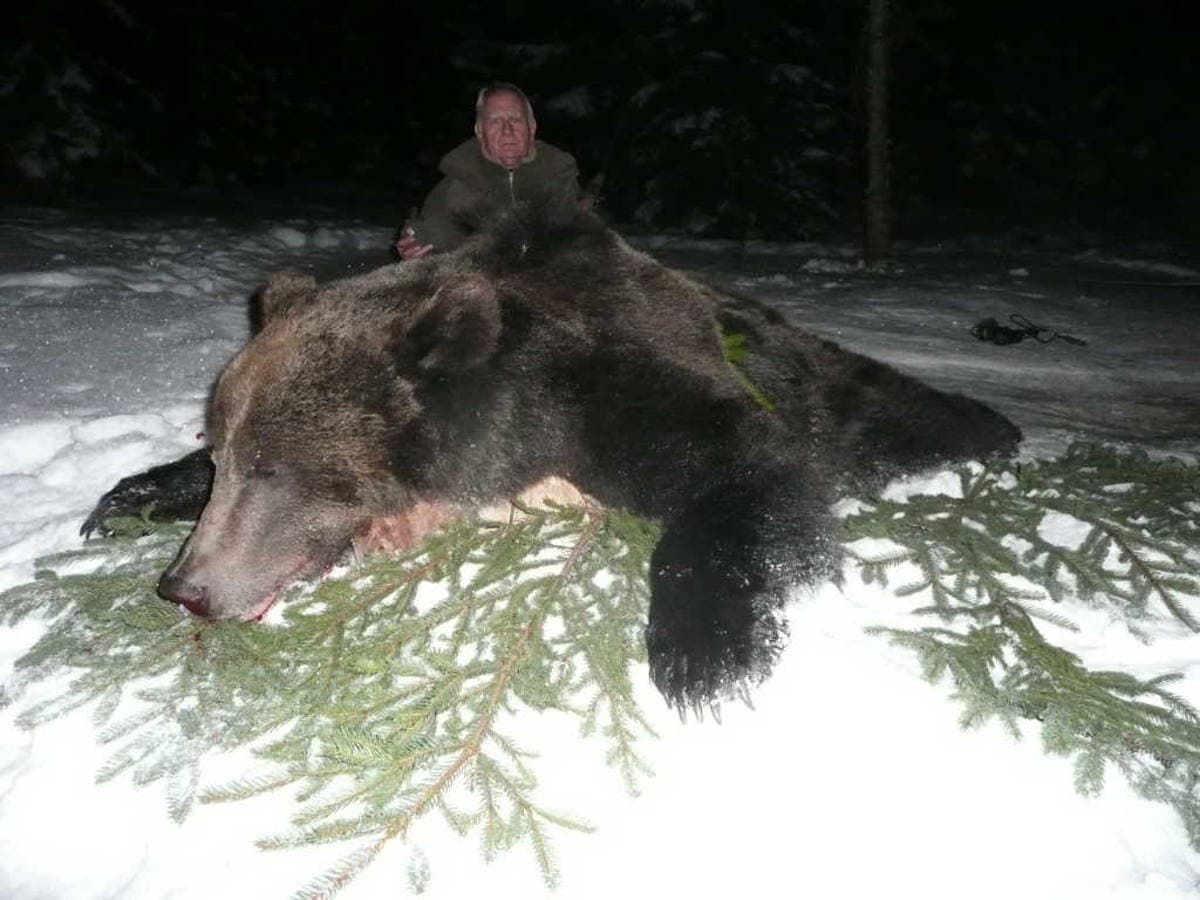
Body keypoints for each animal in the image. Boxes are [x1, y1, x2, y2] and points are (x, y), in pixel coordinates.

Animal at [82, 206, 1020, 713]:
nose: (185, 586)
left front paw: (702, 657)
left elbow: (751, 472)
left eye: (279, 469)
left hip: (845, 388)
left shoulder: (621, 389)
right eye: (224, 455)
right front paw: (126, 497)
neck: (523, 420)